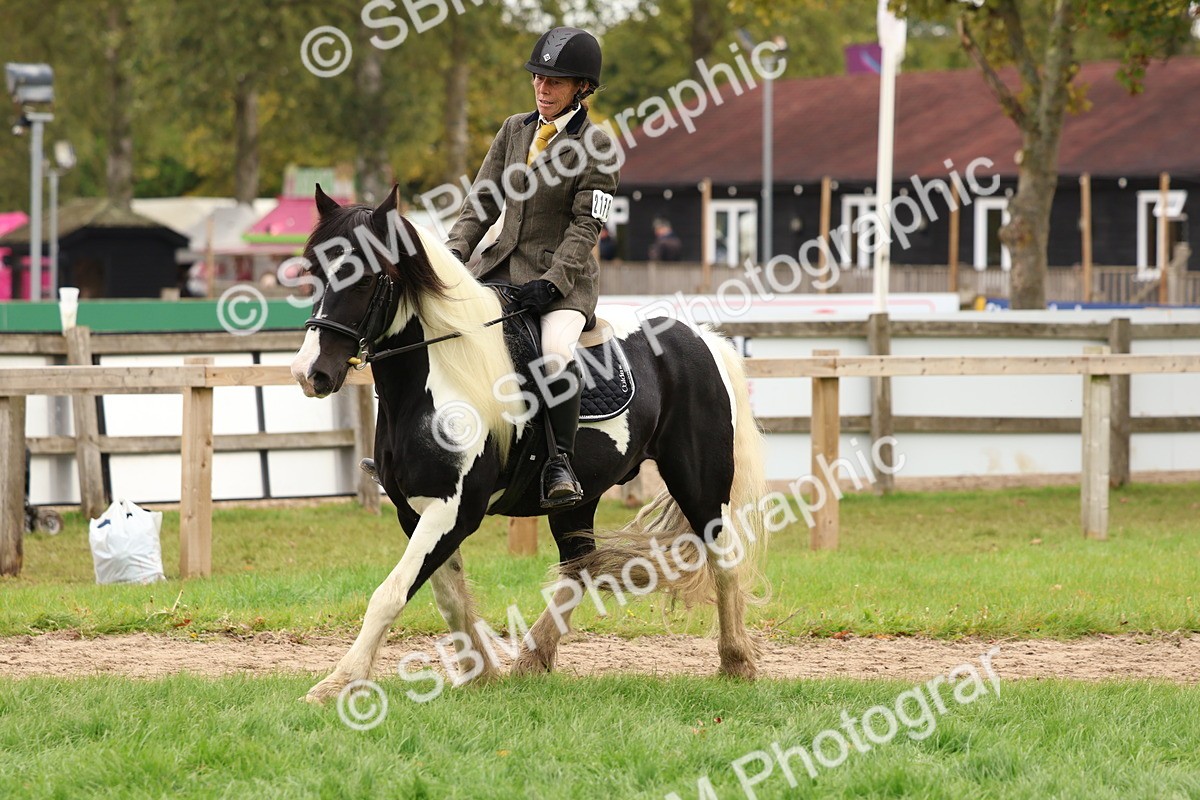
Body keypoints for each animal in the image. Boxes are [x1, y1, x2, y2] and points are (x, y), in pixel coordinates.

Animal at [290, 185, 769, 704]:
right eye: (313, 272)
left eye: (365, 277)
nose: (310, 373)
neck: (437, 379)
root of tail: (701, 338)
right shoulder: (414, 510)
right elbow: (448, 596)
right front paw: (480, 672)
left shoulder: (454, 510)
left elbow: (391, 593)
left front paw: (337, 683)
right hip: (580, 496)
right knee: (579, 566)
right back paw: (533, 656)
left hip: (699, 482)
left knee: (723, 556)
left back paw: (736, 661)